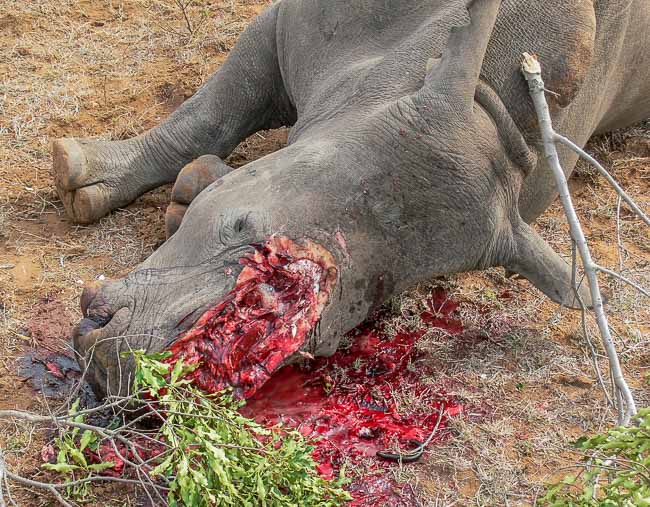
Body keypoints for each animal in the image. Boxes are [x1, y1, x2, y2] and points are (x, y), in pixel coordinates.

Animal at [53, 0, 648, 396]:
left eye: (324, 341)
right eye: (240, 225)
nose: (114, 364)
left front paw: (186, 192)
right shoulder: (292, 26)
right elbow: (212, 114)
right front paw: (78, 172)